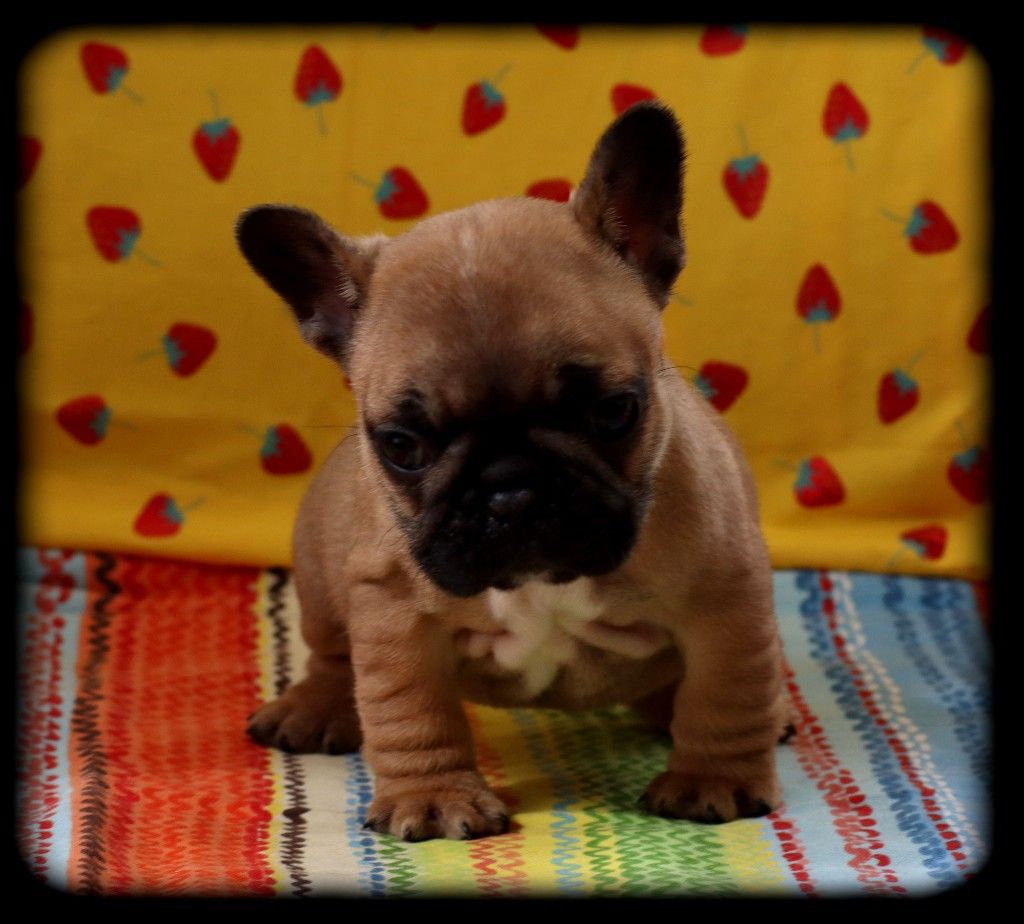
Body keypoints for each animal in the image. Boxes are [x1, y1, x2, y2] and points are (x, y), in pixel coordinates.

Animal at [237, 102, 790, 848]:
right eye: (401, 445)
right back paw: (317, 705)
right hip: (320, 572)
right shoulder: (394, 617)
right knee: (332, 655)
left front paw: (715, 779)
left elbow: (726, 693)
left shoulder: (724, 597)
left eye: (615, 411)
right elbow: (409, 709)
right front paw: (433, 795)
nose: (512, 489)